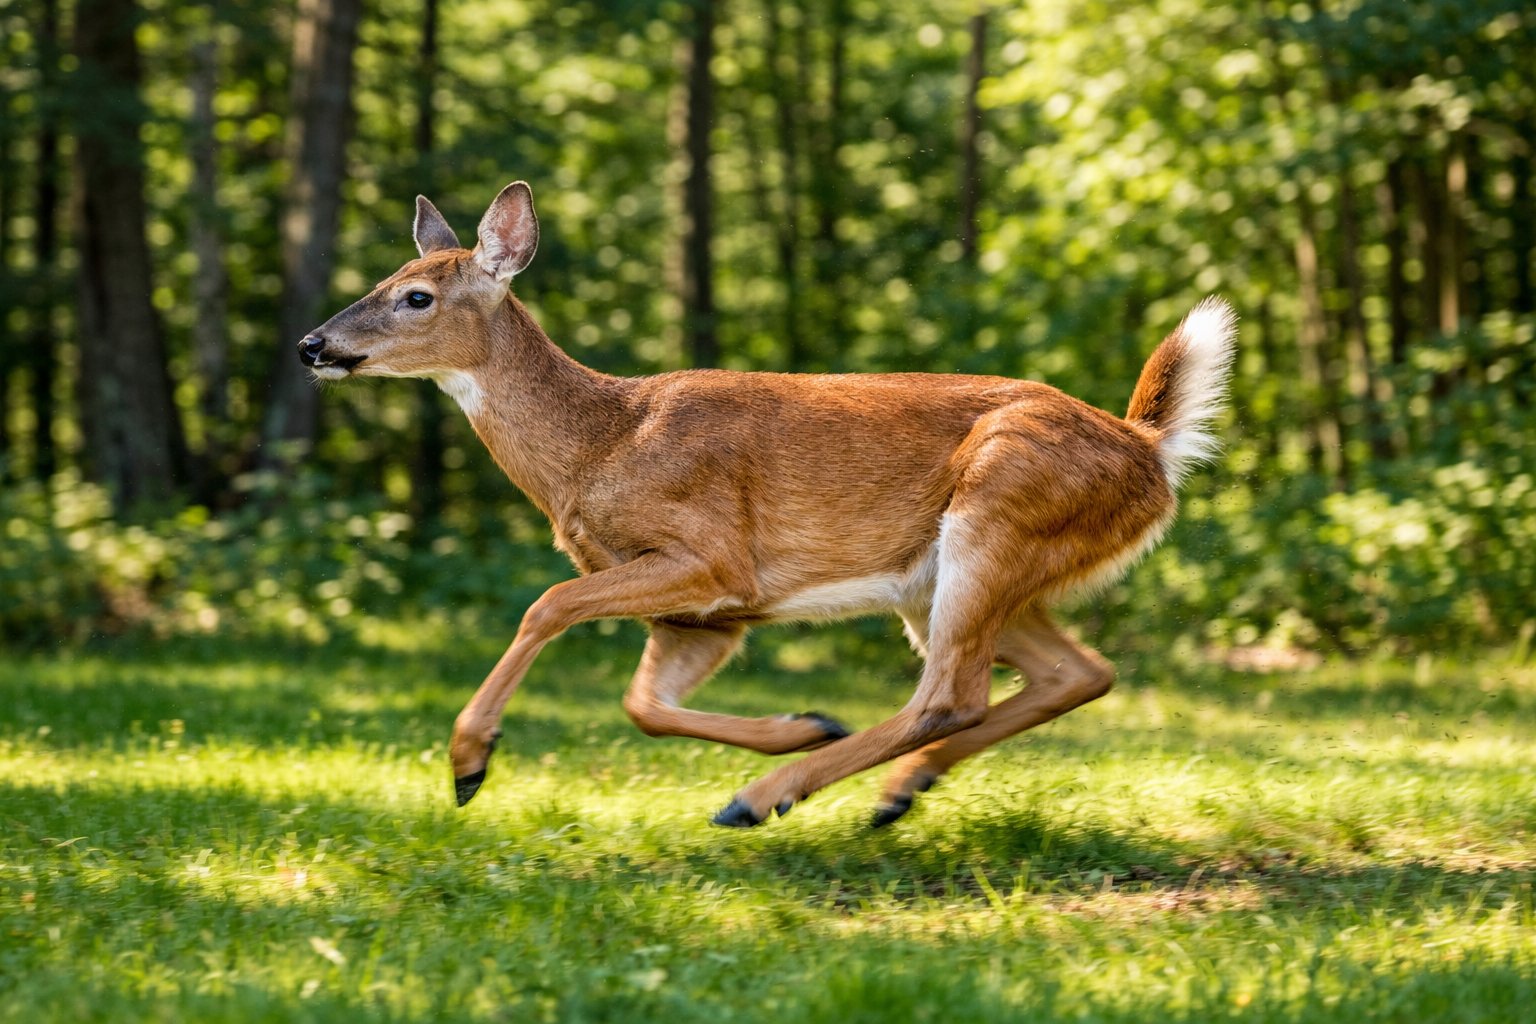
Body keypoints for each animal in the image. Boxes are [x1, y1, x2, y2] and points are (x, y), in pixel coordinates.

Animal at [299, 180, 1236, 829]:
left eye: (416, 296)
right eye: (388, 276)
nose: (313, 343)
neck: (601, 446)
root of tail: (1147, 449)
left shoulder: (713, 554)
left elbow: (549, 602)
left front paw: (468, 762)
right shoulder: (707, 616)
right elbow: (643, 707)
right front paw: (806, 722)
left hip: (997, 512)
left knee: (950, 692)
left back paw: (761, 798)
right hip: (960, 576)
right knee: (1077, 671)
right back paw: (890, 793)